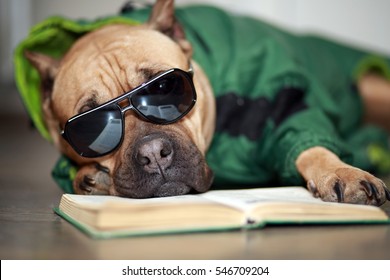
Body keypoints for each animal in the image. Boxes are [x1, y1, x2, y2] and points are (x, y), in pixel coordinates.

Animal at [21, 0, 390, 206]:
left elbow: (307, 144)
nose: (153, 153)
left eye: (165, 88)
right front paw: (89, 176)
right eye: (94, 125)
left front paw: (339, 170)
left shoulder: (278, 104)